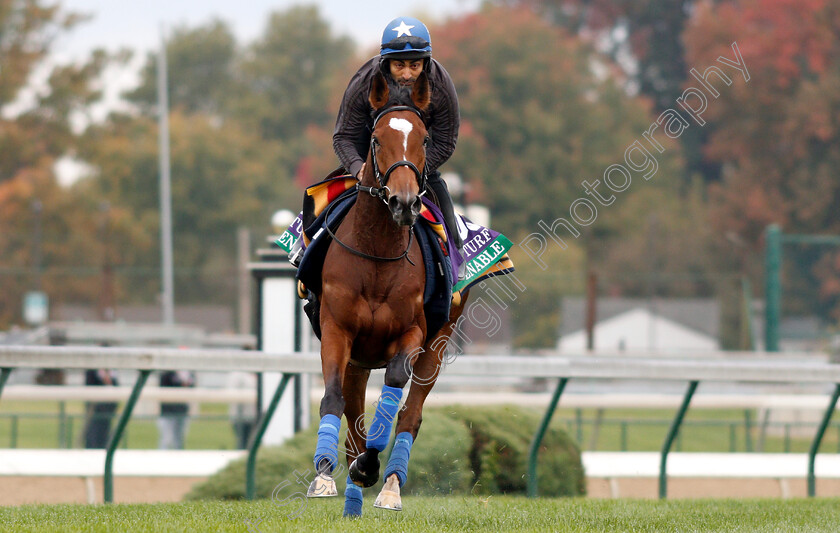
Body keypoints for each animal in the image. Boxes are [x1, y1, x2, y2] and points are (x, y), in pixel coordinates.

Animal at [306, 70, 470, 516]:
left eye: (425, 140)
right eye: (377, 139)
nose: (404, 201)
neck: (378, 255)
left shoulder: (412, 333)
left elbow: (396, 387)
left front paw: (370, 467)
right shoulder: (337, 329)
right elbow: (334, 399)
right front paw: (325, 475)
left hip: (439, 342)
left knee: (410, 414)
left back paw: (388, 485)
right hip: (358, 358)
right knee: (353, 411)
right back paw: (349, 483)